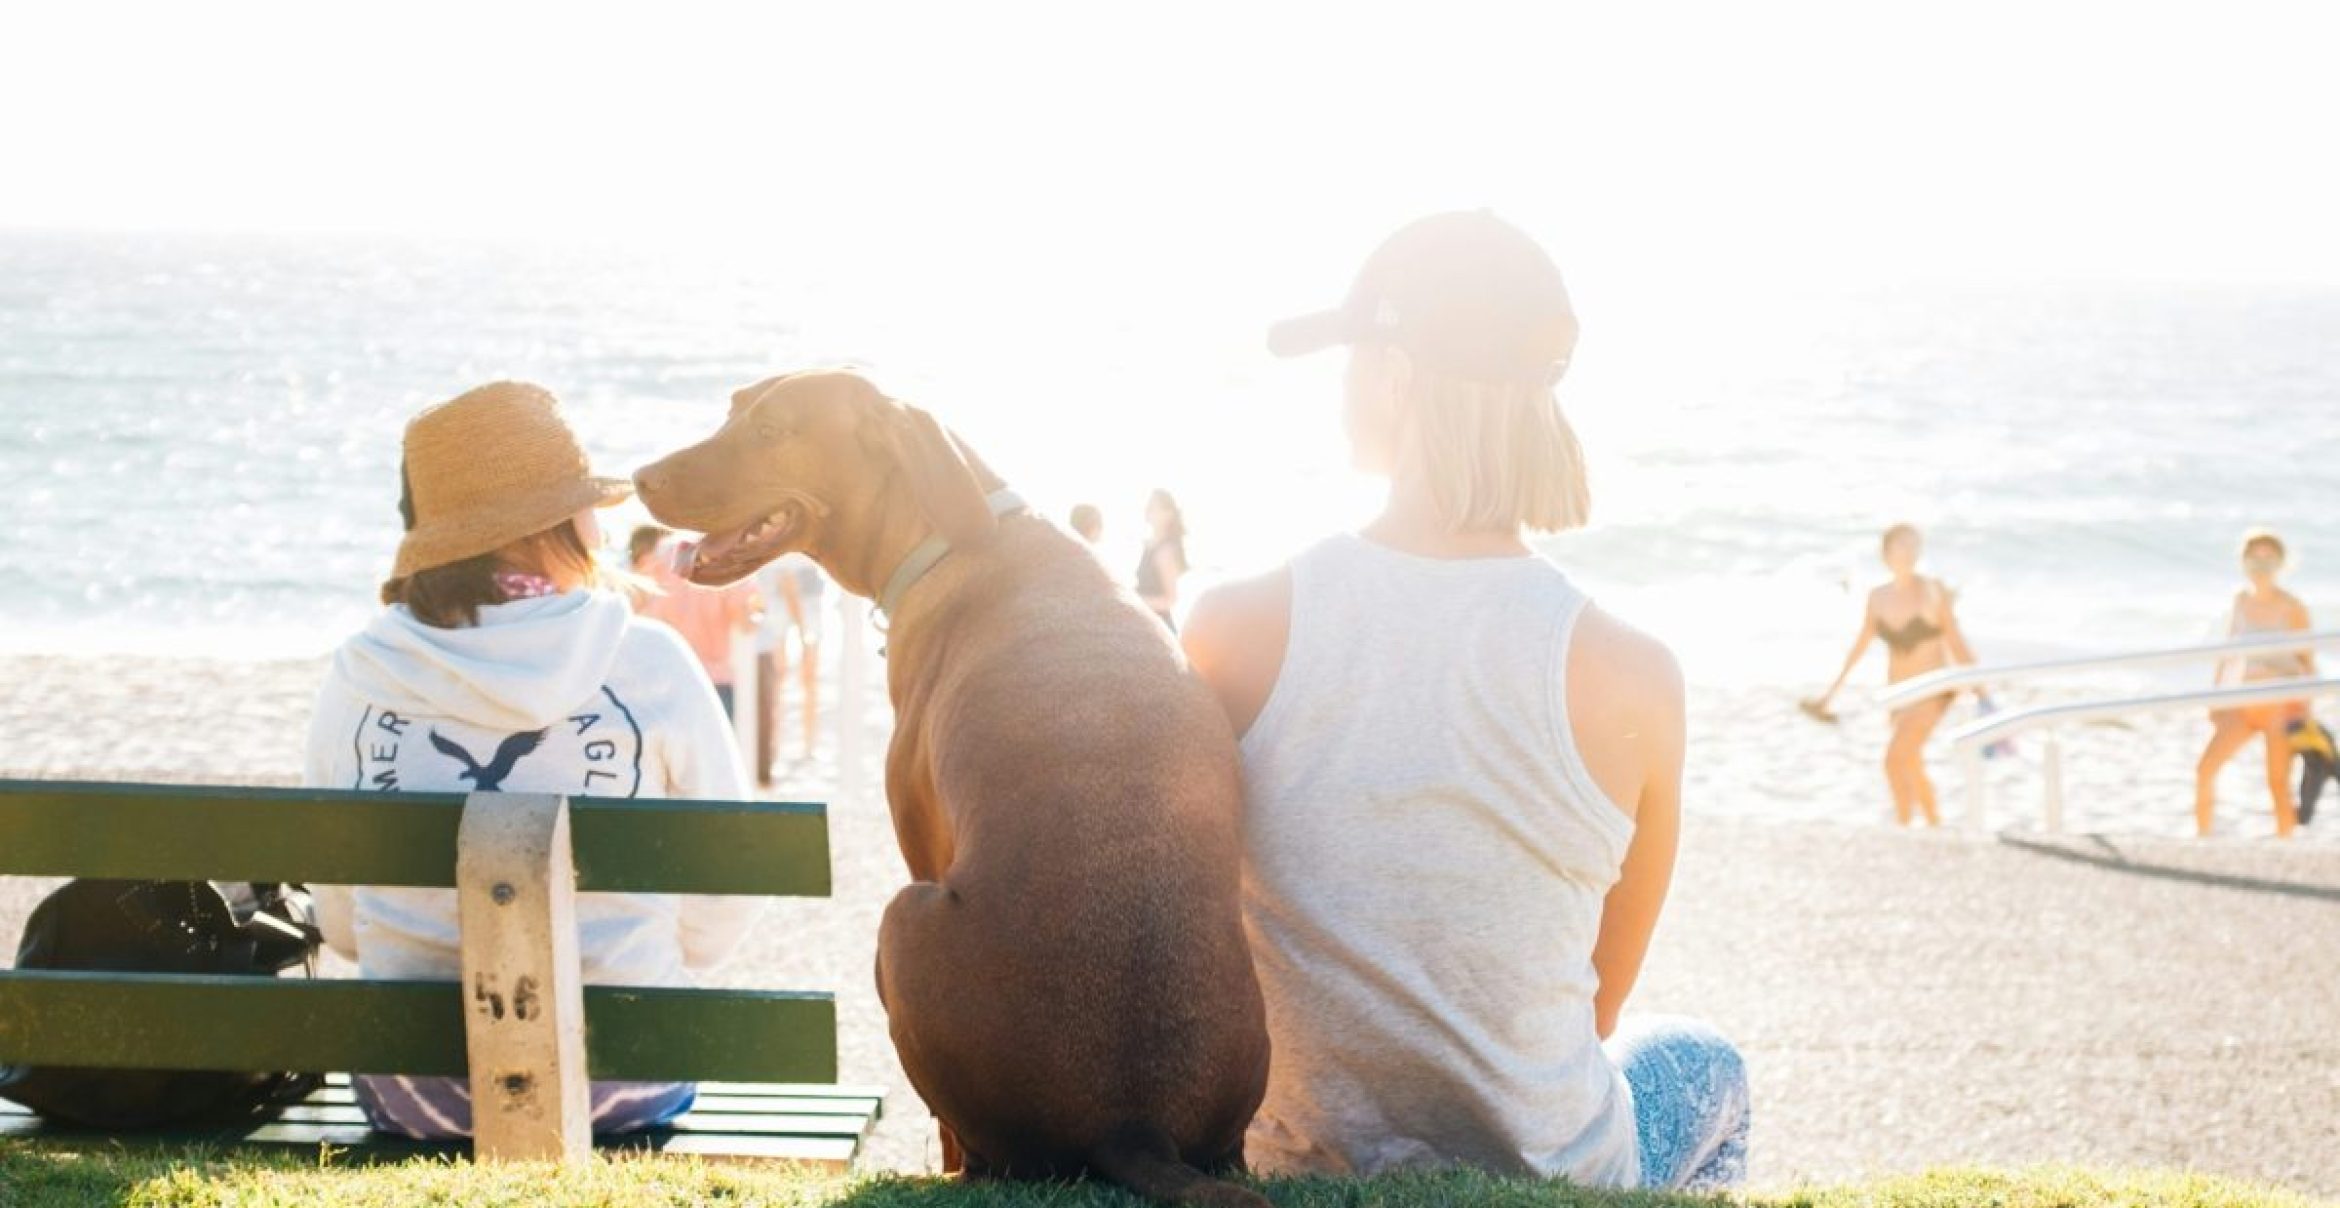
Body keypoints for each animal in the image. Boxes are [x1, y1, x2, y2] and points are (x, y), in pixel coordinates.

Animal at [631, 369, 1272, 1208]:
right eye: (733, 411)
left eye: (771, 432)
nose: (639, 477)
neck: (953, 531)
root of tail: (1135, 1126)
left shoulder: (919, 842)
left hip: (901, 920)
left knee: (975, 1149)